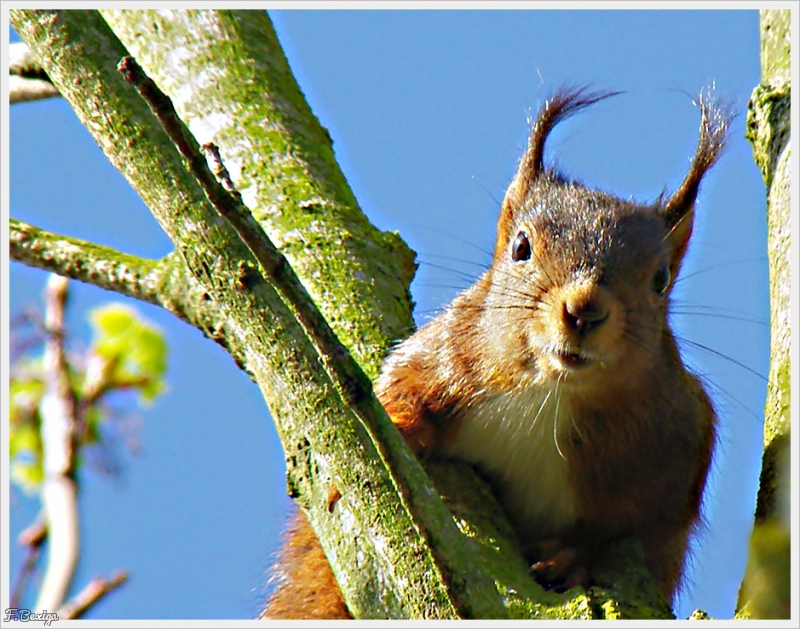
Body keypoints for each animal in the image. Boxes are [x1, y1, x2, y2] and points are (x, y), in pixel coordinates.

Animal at [262, 87, 732, 620]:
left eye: (660, 278)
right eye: (521, 247)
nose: (584, 309)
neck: (551, 394)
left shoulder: (680, 448)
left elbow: (639, 531)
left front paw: (575, 555)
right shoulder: (450, 351)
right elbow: (403, 385)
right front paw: (397, 425)